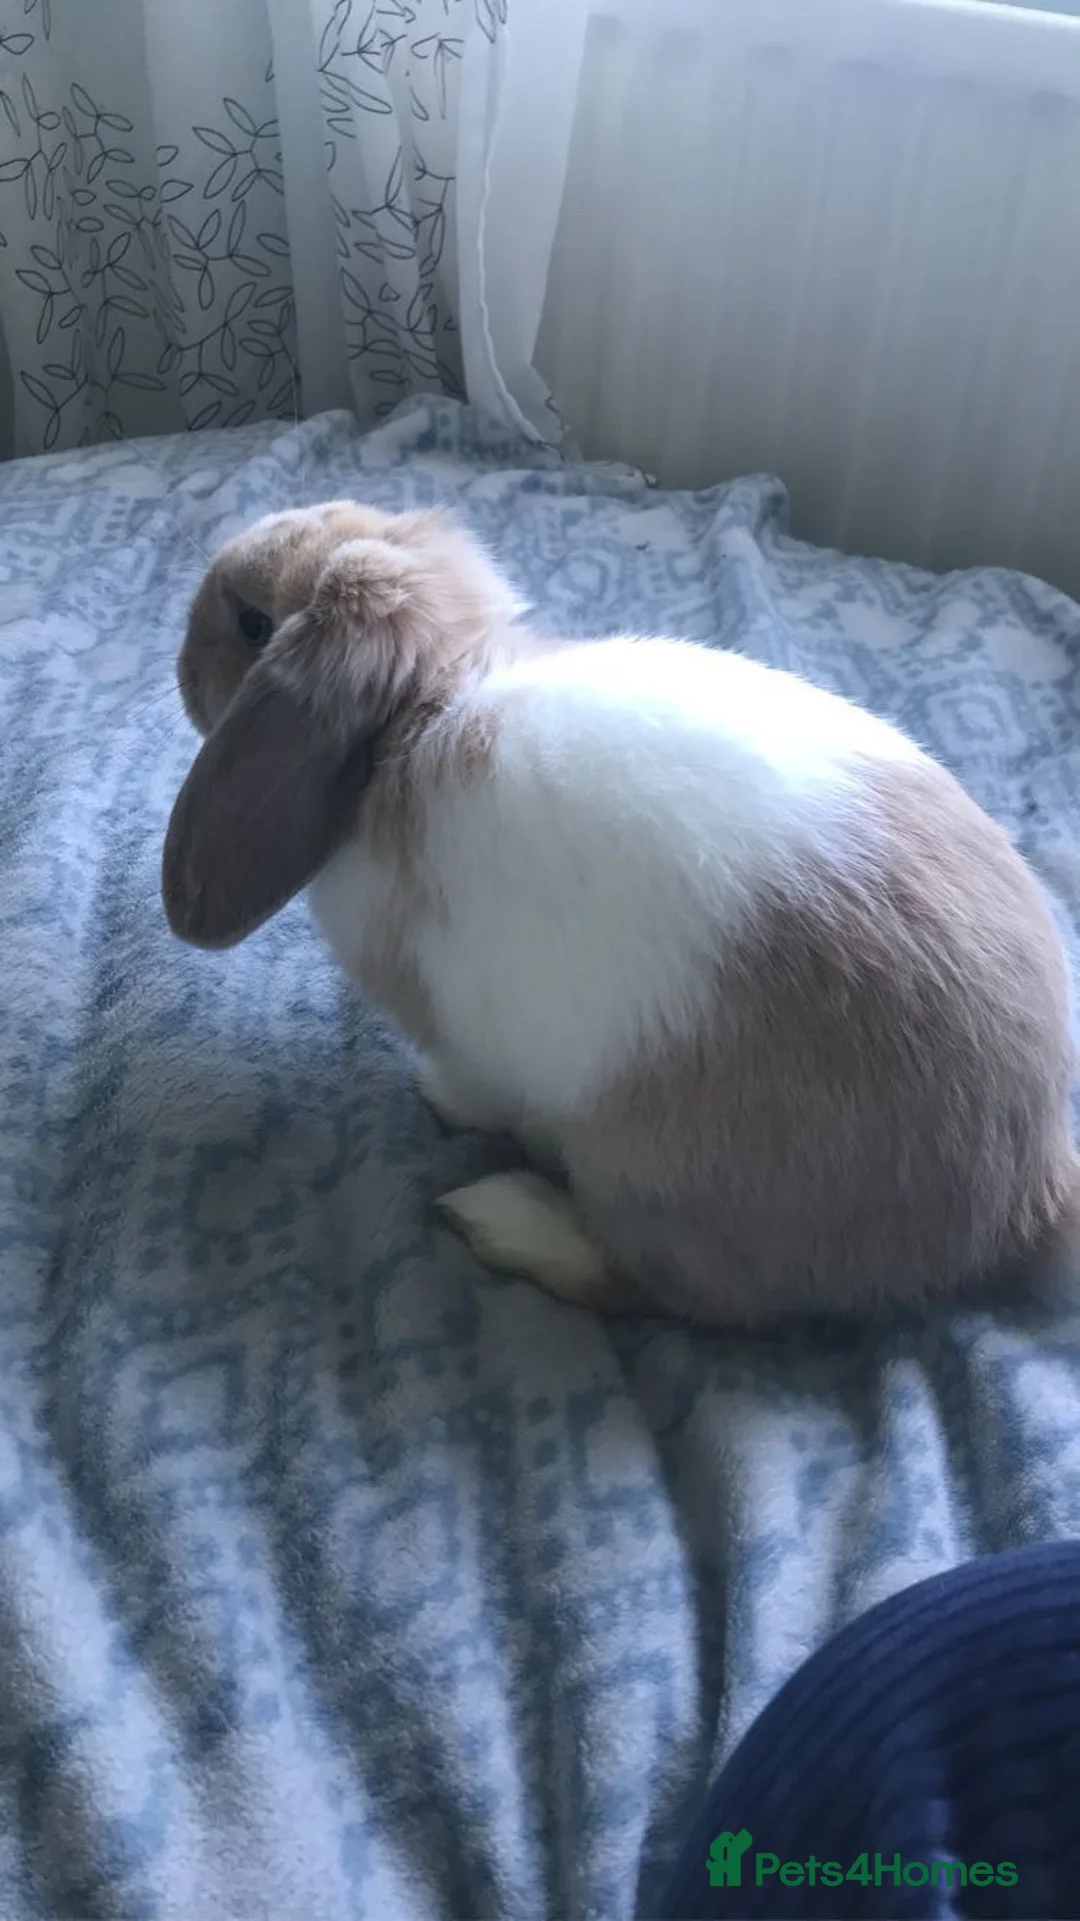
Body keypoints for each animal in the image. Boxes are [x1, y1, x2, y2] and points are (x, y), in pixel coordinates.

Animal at [162, 499, 1079, 1329]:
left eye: (252, 622)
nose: (178, 661)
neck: (419, 709)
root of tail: (1026, 1193)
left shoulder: (469, 1034)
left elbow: (475, 1085)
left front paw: (440, 1097)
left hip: (658, 1183)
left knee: (658, 1291)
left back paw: (503, 1216)